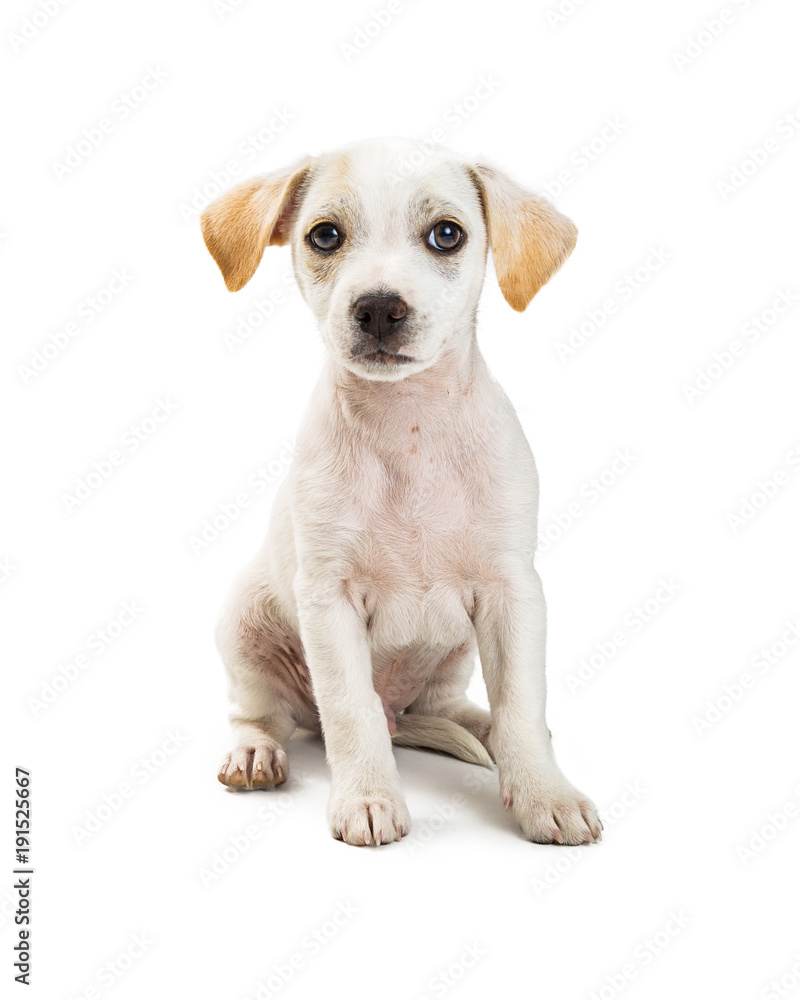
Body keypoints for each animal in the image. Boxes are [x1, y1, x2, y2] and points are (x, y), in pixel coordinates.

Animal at [200, 137, 600, 848]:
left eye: (447, 235)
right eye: (325, 235)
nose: (380, 308)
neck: (407, 424)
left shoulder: (512, 592)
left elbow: (521, 704)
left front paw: (545, 793)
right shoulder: (328, 600)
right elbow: (349, 710)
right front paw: (366, 798)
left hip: (455, 656)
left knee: (463, 710)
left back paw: (485, 733)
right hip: (244, 625)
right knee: (266, 713)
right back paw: (255, 753)